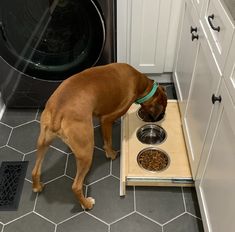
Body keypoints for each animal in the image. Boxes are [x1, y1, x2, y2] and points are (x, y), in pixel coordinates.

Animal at [31, 63, 167, 210]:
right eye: (163, 110)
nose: (160, 117)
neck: (141, 83)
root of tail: (57, 112)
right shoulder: (106, 119)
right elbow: (108, 140)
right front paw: (111, 153)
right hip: (86, 152)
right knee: (76, 187)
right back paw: (87, 204)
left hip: (42, 143)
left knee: (35, 171)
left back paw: (37, 187)